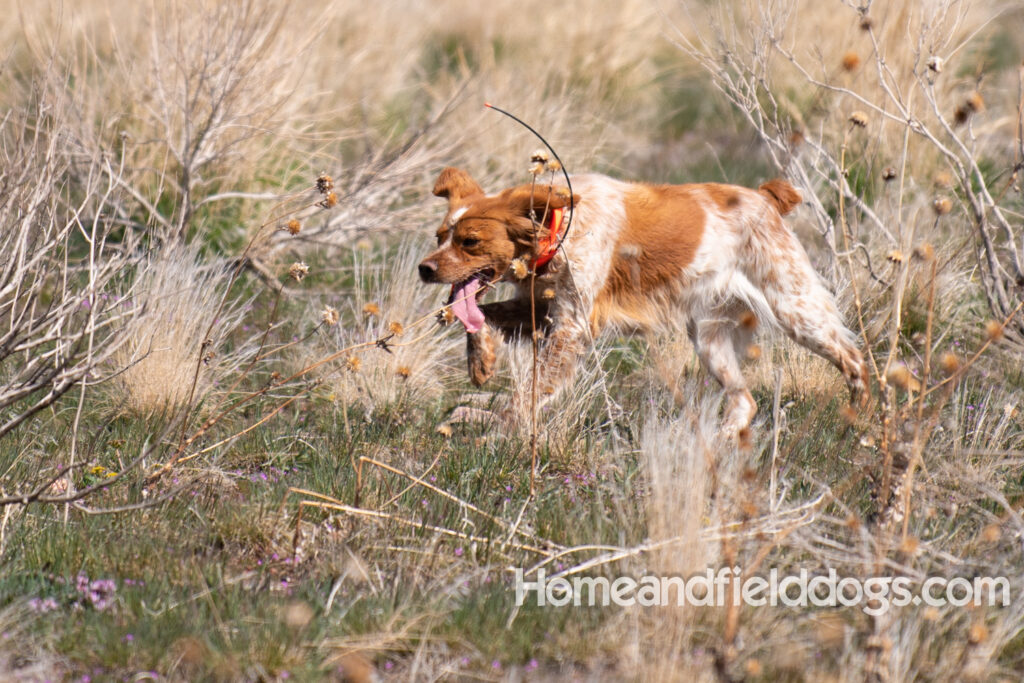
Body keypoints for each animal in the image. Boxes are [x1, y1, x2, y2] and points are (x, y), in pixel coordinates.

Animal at [419, 165, 868, 436]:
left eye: (470, 241)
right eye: (440, 236)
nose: (425, 268)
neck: (560, 227)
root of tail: (764, 198)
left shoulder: (571, 326)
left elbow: (529, 391)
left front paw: (499, 431)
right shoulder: (542, 312)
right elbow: (480, 316)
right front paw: (481, 360)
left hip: (795, 308)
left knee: (855, 358)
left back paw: (858, 417)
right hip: (709, 338)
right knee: (745, 401)